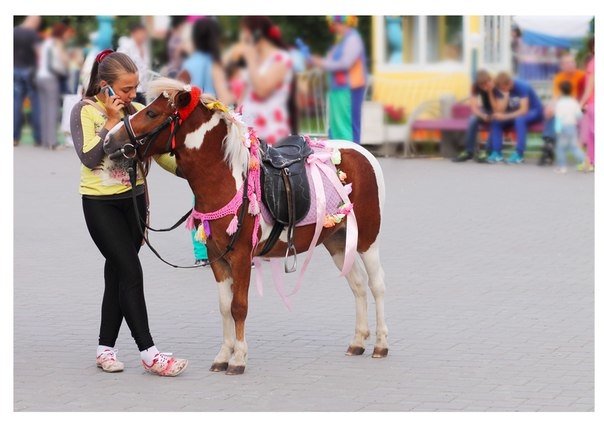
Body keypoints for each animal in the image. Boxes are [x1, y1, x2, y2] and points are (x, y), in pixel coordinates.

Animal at [103, 78, 386, 374]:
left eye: (151, 113)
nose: (109, 140)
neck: (226, 179)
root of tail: (364, 153)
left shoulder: (240, 256)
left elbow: (239, 306)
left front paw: (238, 358)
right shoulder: (217, 258)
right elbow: (224, 306)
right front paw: (223, 356)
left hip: (368, 239)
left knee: (377, 284)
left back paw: (380, 345)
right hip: (337, 239)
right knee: (357, 284)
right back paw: (358, 341)